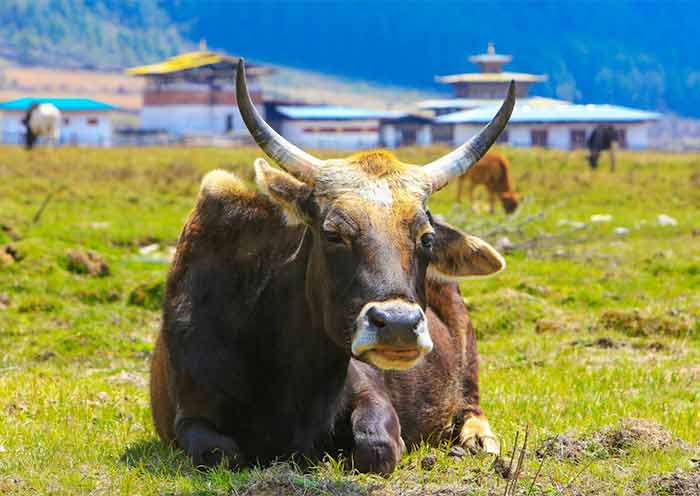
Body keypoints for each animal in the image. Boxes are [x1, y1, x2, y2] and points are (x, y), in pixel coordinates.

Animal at [150, 61, 516, 472]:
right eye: (332, 233)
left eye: (426, 237)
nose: (399, 326)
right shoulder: (190, 417)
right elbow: (220, 455)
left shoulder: (371, 393)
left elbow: (376, 446)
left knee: (470, 407)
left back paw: (479, 440)